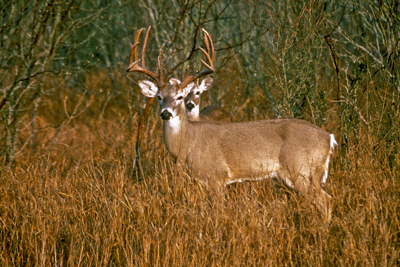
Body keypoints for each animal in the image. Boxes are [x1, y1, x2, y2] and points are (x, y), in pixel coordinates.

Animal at [128, 26, 338, 222]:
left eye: (180, 97)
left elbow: (217, 212)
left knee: (326, 201)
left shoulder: (217, 176)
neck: (187, 144)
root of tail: (328, 137)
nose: (166, 113)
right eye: (159, 97)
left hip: (302, 170)